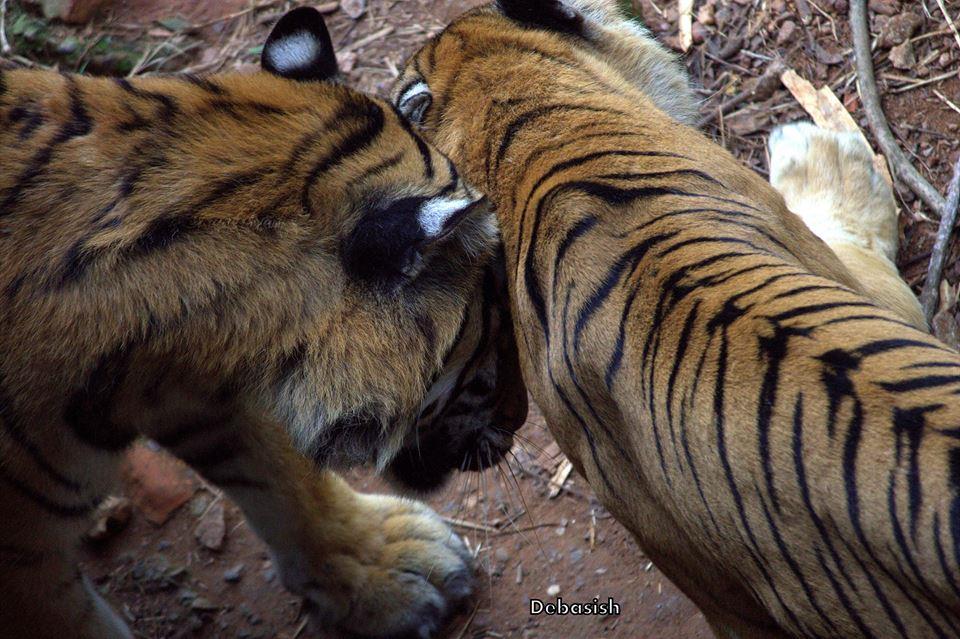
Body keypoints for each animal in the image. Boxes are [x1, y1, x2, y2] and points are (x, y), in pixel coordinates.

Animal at [0, 6, 528, 639]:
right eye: (496, 325)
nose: (523, 418)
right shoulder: (22, 559)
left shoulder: (201, 387)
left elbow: (283, 474)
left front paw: (382, 569)